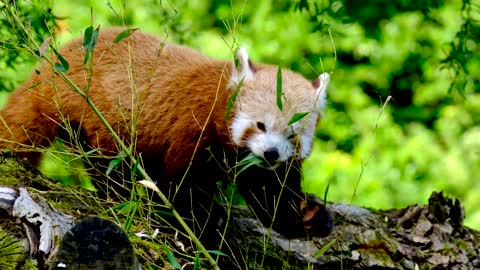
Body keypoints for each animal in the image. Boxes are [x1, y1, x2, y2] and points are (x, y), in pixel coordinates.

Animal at [0, 28, 330, 240]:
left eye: (292, 135)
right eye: (261, 125)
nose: (270, 153)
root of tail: (57, 63)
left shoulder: (259, 167)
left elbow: (271, 194)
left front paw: (308, 216)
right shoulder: (193, 130)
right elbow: (181, 187)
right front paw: (207, 223)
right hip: (96, 116)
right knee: (111, 167)